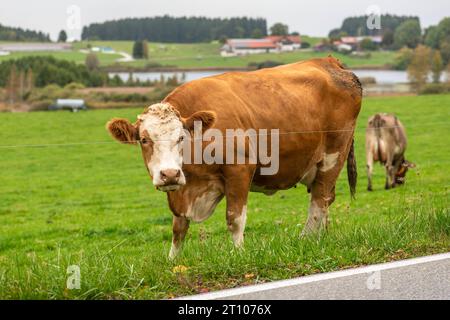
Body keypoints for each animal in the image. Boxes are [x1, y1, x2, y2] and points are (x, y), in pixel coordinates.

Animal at [105, 56, 362, 258]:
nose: (169, 174)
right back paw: (321, 239)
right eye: (144, 139)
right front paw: (173, 261)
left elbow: (234, 219)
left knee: (318, 202)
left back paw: (306, 240)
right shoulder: (181, 192)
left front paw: (238, 255)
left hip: (333, 155)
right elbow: (179, 227)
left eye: (180, 137)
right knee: (326, 200)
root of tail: (329, 61)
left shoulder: (239, 169)